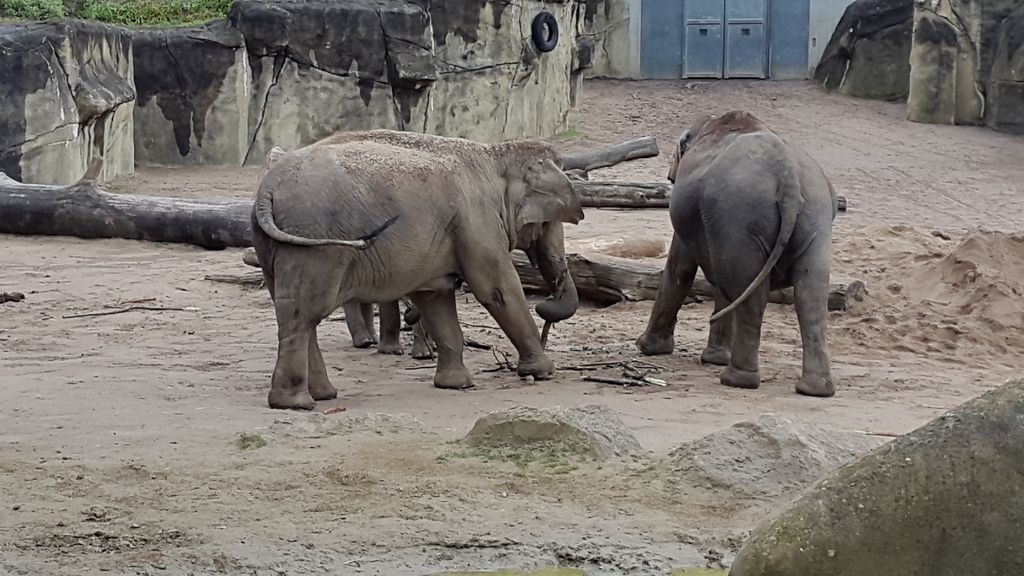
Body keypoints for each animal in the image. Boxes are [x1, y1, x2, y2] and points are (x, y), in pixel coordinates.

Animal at [249, 130, 585, 407]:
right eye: (549, 221)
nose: (545, 304)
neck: (495, 154)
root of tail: (267, 190)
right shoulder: (477, 221)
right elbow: (496, 289)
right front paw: (543, 372)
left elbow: (435, 296)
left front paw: (456, 385)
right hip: (314, 244)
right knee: (303, 314)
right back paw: (296, 403)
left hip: (272, 244)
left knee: (296, 312)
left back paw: (322, 395)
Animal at [638, 109, 839, 397]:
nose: (669, 177)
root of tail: (787, 174)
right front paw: (714, 358)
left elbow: (680, 269)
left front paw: (648, 348)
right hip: (815, 214)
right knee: (811, 292)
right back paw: (815, 389)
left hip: (739, 215)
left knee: (749, 292)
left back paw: (736, 379)